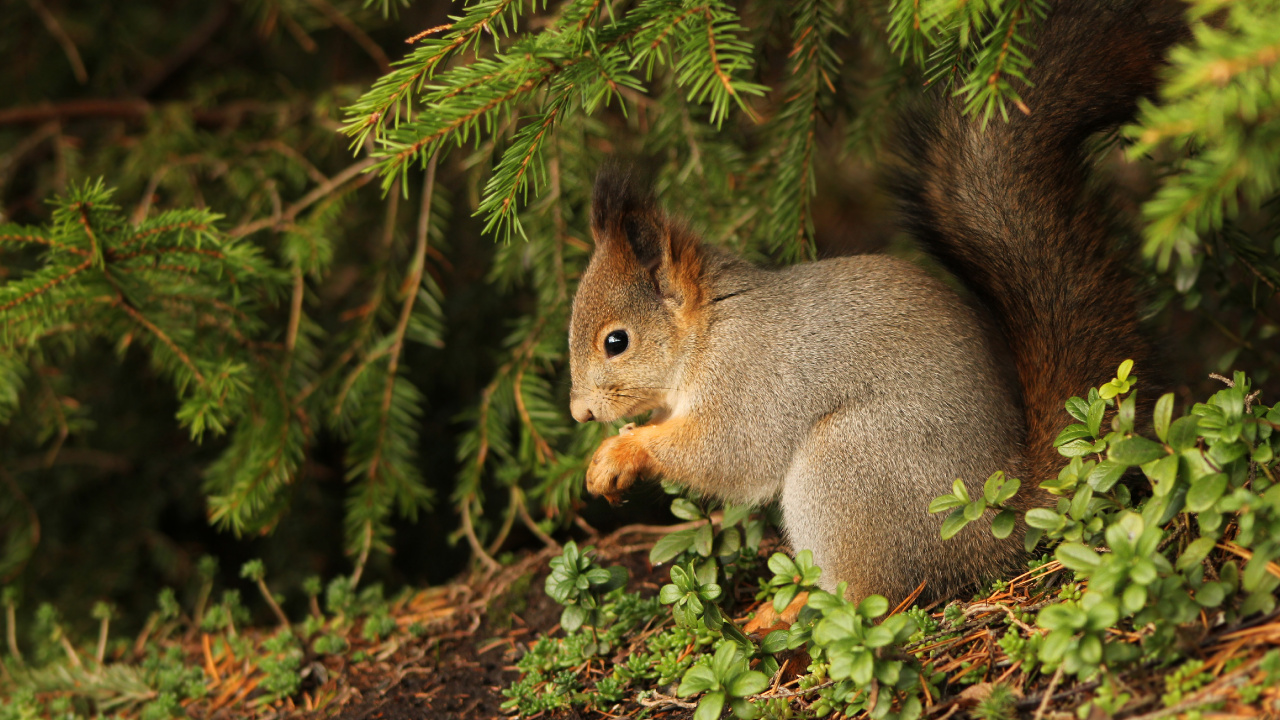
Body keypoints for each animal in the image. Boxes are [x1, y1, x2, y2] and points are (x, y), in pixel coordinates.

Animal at [567, 0, 1188, 603]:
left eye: (616, 341)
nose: (580, 414)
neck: (710, 330)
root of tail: (992, 518)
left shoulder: (749, 381)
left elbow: (726, 453)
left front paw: (623, 453)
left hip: (847, 469)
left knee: (873, 596)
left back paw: (783, 617)